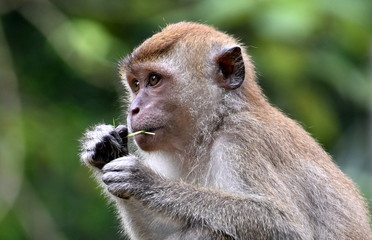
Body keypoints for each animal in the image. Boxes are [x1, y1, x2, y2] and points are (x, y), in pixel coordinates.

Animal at [79, 21, 372, 239]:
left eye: (153, 80)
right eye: (136, 84)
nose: (134, 109)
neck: (216, 124)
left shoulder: (242, 141)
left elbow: (286, 226)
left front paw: (146, 181)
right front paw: (104, 148)